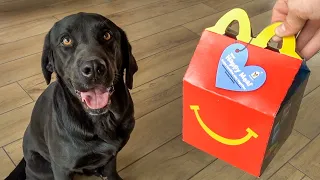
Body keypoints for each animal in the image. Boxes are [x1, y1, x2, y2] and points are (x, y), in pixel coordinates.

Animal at [5, 11, 138, 179]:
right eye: (66, 40)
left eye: (107, 35)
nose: (93, 68)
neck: (102, 120)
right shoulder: (62, 168)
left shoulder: (111, 155)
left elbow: (110, 169)